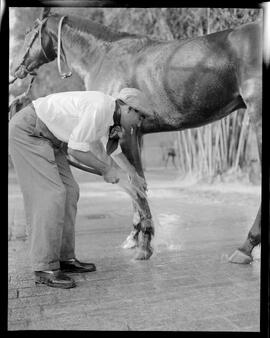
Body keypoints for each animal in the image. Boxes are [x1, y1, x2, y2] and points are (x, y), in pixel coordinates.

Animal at [10, 7, 262, 262]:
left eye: (28, 32)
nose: (14, 69)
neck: (102, 56)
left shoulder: (125, 133)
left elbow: (136, 185)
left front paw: (144, 244)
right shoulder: (134, 134)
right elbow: (135, 179)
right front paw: (136, 236)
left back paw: (245, 248)